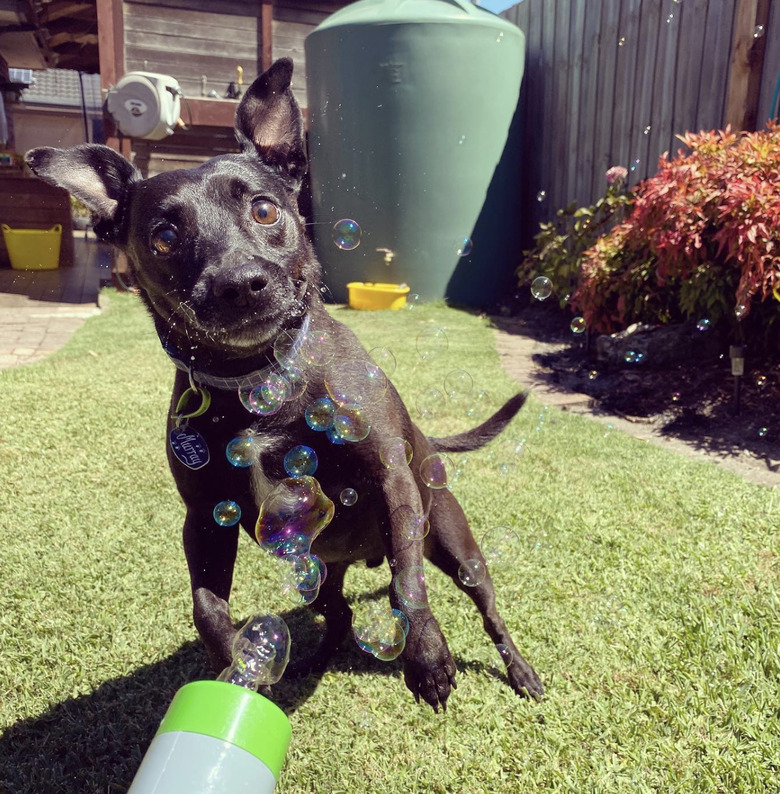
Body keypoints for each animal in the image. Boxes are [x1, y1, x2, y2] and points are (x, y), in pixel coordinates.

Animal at [29, 57, 544, 712]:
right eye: (164, 236)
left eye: (265, 210)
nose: (239, 283)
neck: (260, 384)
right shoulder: (206, 518)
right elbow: (206, 609)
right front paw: (237, 661)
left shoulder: (392, 481)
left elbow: (407, 582)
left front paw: (427, 657)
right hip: (312, 568)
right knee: (341, 614)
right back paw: (312, 661)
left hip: (458, 546)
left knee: (485, 609)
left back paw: (520, 671)